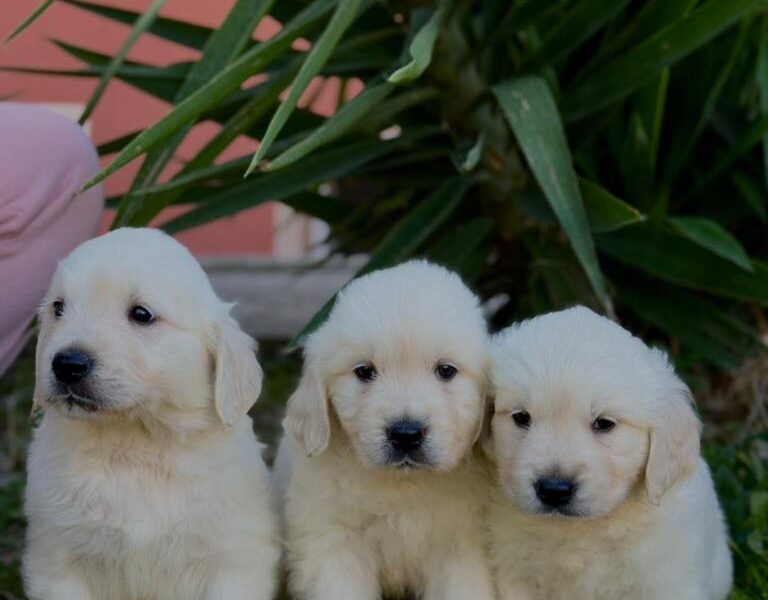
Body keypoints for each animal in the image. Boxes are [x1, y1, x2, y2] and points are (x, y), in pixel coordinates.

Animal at [23, 227, 282, 596]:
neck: (135, 442)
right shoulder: (58, 560)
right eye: (58, 307)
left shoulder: (233, 561)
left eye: (141, 314)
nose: (66, 364)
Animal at [272, 262, 496, 600]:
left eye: (446, 370)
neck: (401, 486)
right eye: (364, 371)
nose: (406, 434)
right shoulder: (333, 544)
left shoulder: (461, 546)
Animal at [486, 308, 732, 600]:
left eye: (604, 423)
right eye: (521, 417)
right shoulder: (517, 577)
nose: (554, 490)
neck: (579, 529)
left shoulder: (668, 581)